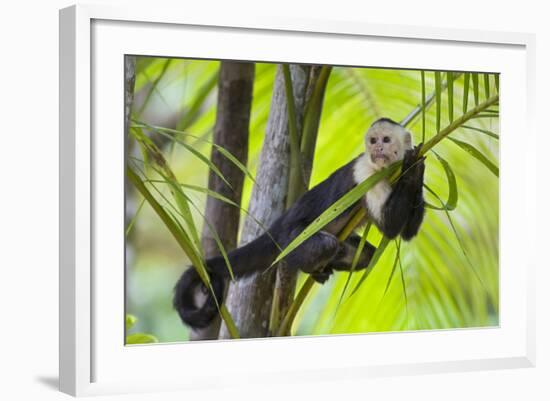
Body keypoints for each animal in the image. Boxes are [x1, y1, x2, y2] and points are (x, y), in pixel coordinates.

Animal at [172, 118, 426, 328]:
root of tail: (280, 223)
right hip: (291, 237)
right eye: (373, 141)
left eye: (385, 140)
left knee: (364, 255)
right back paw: (310, 266)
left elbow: (406, 232)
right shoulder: (366, 172)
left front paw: (416, 169)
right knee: (324, 245)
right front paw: (414, 169)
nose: (377, 149)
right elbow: (389, 226)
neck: (386, 169)